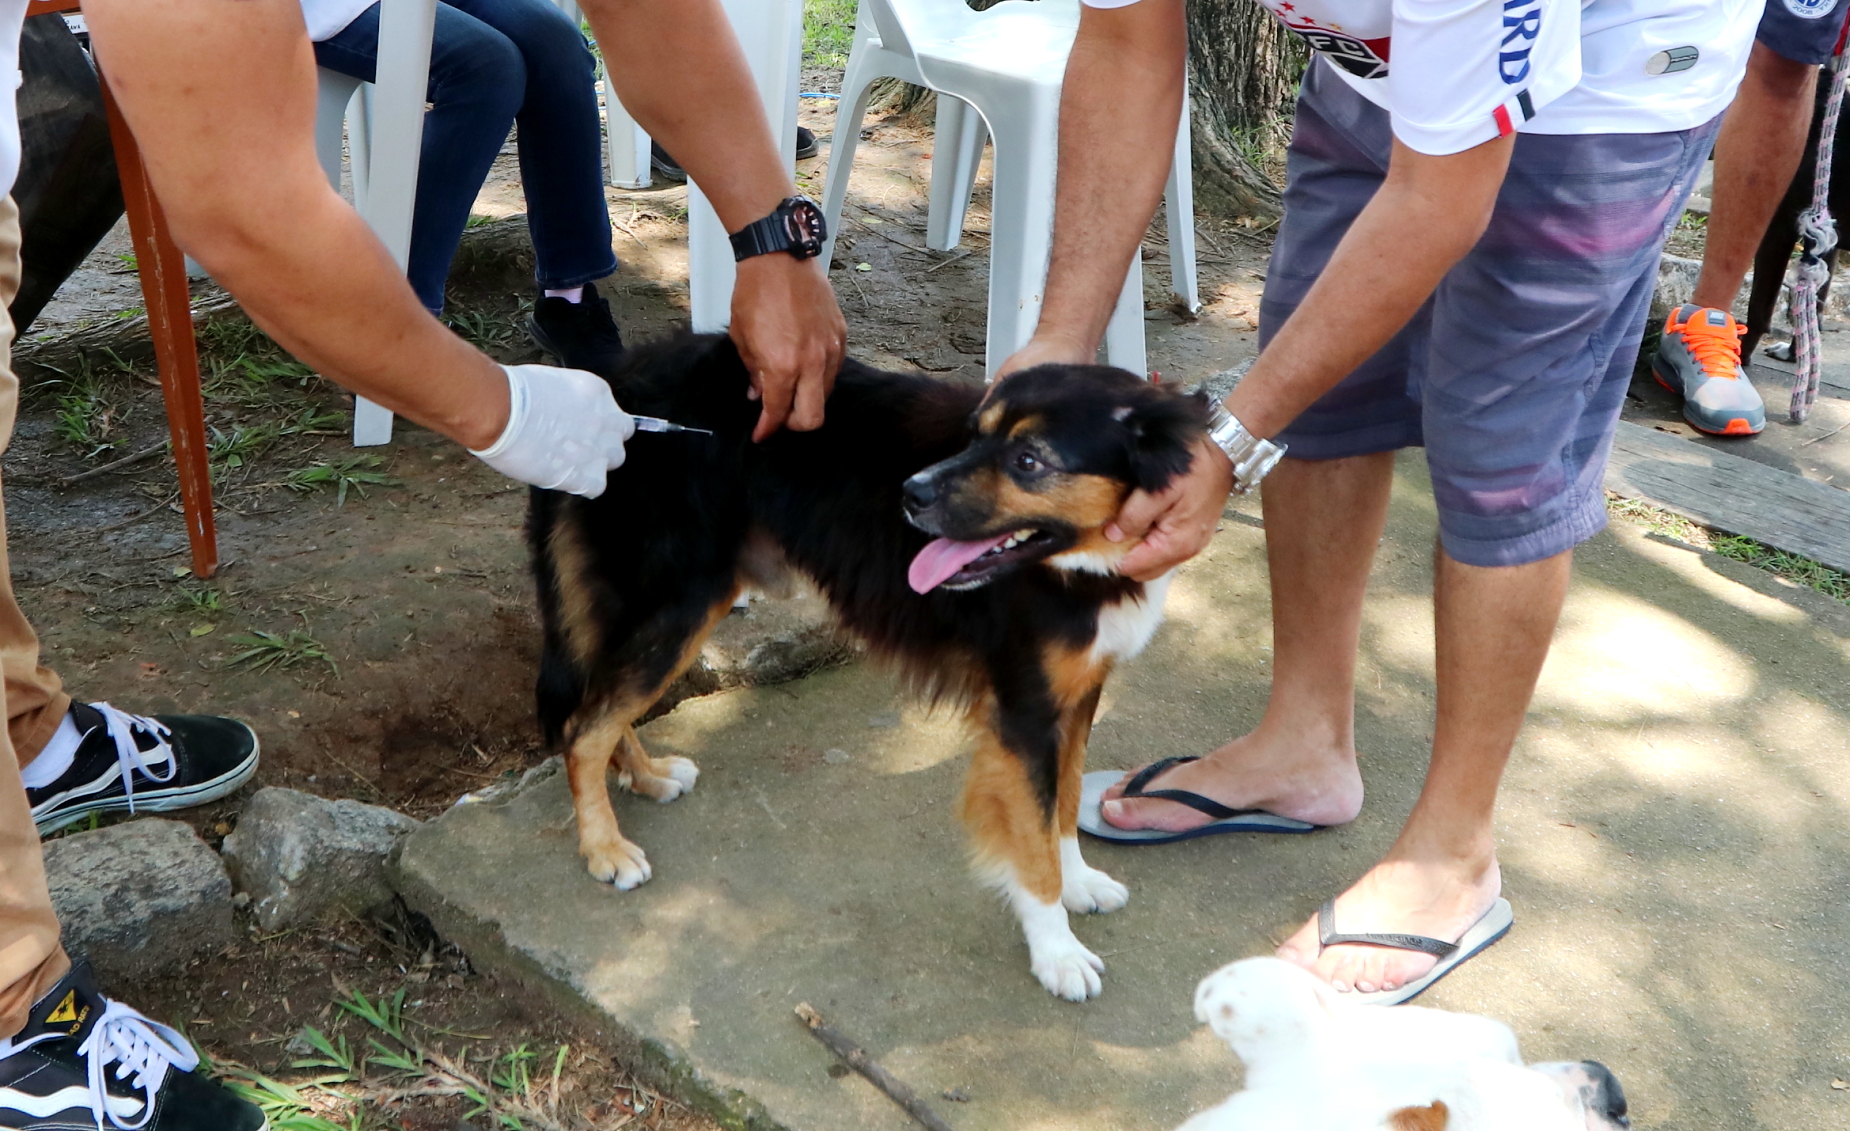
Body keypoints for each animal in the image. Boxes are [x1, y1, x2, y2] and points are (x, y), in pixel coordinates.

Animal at [529, 333, 1206, 999]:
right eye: (974, 435)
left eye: (1029, 460)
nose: (911, 493)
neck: (1083, 563)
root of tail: (616, 375)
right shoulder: (1025, 711)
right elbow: (1032, 840)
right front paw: (1056, 952)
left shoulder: (1078, 694)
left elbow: (1062, 804)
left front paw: (1078, 879)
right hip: (680, 599)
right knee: (583, 727)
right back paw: (606, 846)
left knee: (602, 708)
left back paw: (646, 775)